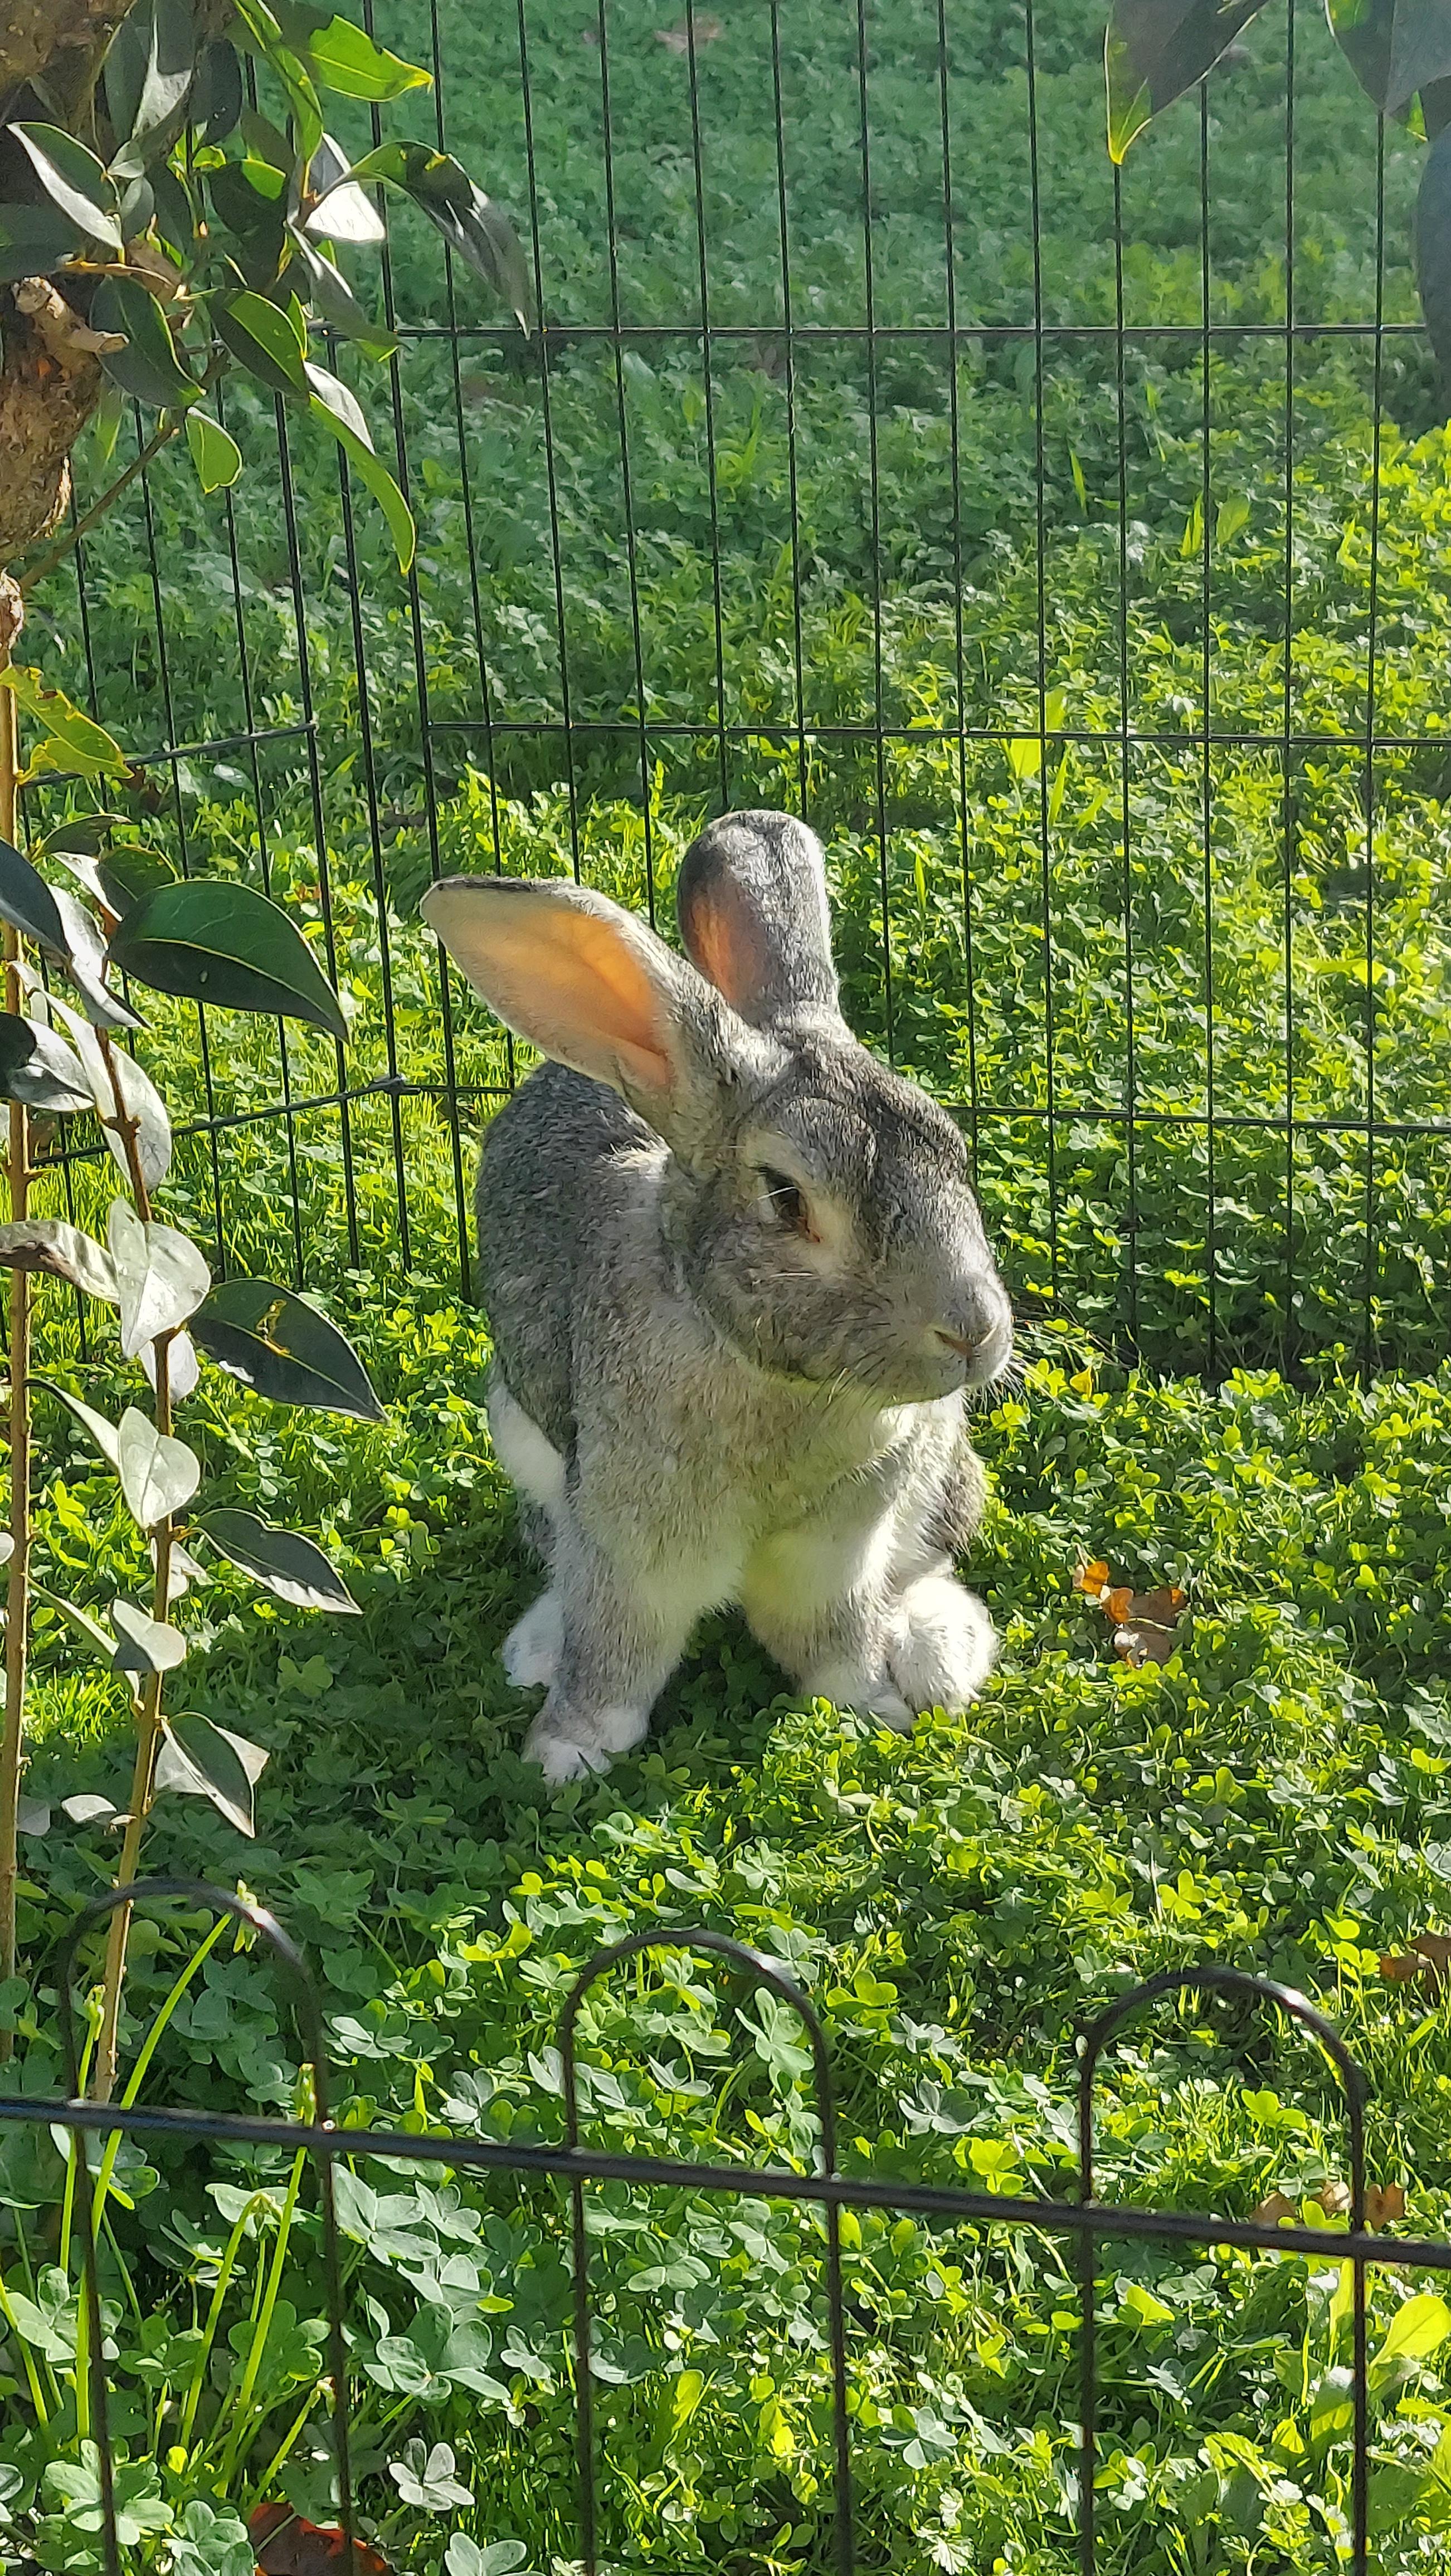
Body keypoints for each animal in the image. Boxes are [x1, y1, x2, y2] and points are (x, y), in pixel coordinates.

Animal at [420, 809, 1013, 1784]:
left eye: (953, 1150)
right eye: (785, 1198)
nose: (971, 1331)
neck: (777, 1381)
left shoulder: (837, 1550)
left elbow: (834, 1634)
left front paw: (872, 1701)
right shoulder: (630, 1540)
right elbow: (616, 1647)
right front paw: (568, 1751)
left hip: (942, 1474)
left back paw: (936, 1653)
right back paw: (536, 1649)